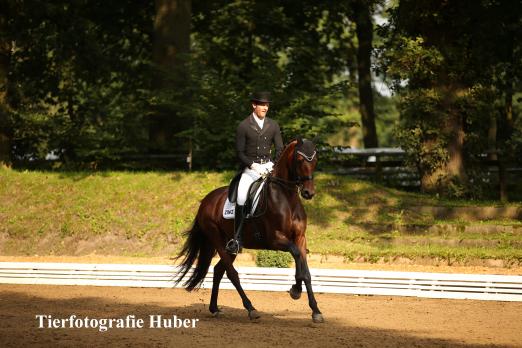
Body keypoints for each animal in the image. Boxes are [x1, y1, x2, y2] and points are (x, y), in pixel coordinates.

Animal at [174, 137, 320, 322]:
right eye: (300, 159)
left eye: (315, 160)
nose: (309, 193)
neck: (287, 198)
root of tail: (206, 201)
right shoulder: (275, 239)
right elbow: (296, 255)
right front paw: (296, 290)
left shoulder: (300, 238)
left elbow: (305, 269)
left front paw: (315, 309)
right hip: (216, 239)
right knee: (231, 273)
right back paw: (251, 308)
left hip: (230, 245)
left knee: (219, 270)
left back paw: (214, 308)